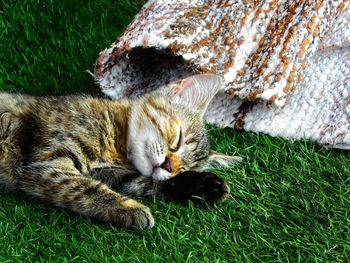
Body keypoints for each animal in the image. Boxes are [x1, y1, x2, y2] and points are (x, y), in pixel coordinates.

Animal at [0, 73, 241, 229]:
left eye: (182, 168)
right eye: (178, 139)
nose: (168, 165)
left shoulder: (108, 171)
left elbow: (143, 181)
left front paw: (198, 184)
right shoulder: (46, 165)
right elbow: (85, 188)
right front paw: (131, 209)